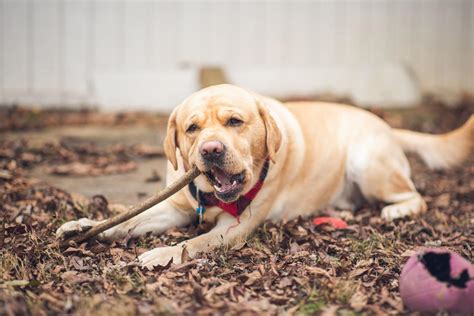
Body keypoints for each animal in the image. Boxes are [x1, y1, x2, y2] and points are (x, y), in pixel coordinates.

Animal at [57, 84, 472, 270]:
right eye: (192, 128)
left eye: (234, 122)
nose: (211, 150)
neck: (210, 197)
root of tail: (386, 125)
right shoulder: (175, 207)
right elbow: (127, 219)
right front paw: (84, 226)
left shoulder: (234, 228)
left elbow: (193, 243)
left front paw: (161, 253)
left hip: (367, 161)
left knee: (416, 197)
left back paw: (396, 211)